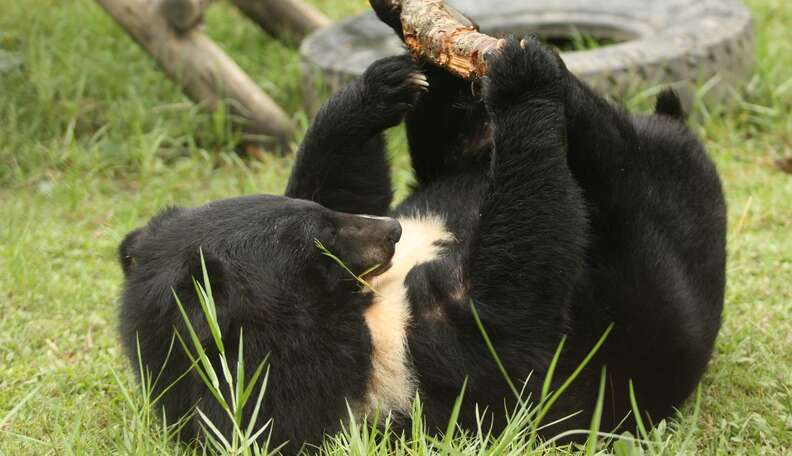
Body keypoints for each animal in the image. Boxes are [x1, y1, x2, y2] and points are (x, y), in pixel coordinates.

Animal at [116, 7, 724, 452]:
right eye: (321, 244)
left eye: (321, 222)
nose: (392, 232)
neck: (360, 309)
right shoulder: (406, 374)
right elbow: (510, 313)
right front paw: (522, 82)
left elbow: (341, 180)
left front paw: (381, 86)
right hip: (667, 240)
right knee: (625, 167)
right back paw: (546, 78)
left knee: (458, 140)